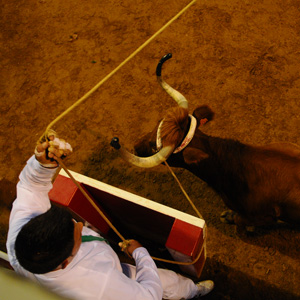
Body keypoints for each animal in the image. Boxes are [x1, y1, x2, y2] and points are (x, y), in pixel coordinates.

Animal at [111, 53, 300, 227]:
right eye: (157, 122)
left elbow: (242, 220)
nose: (135, 145)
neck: (234, 167)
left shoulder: (261, 217)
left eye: (153, 147)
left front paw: (230, 217)